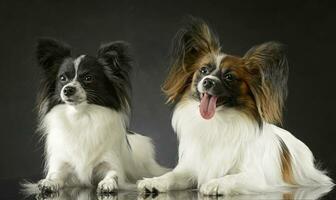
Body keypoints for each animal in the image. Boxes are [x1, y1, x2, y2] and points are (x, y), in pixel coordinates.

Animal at [31, 37, 168, 194]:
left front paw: (108, 183)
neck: (81, 116)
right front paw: (49, 182)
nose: (67, 89)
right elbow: (55, 175)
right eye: (63, 78)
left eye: (88, 78)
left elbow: (113, 173)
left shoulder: (110, 162)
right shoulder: (62, 164)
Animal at [137, 17, 334, 195]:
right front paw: (154, 181)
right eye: (203, 70)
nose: (208, 81)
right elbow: (171, 176)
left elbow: (232, 177)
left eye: (229, 77)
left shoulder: (255, 177)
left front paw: (215, 184)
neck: (217, 121)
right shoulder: (190, 168)